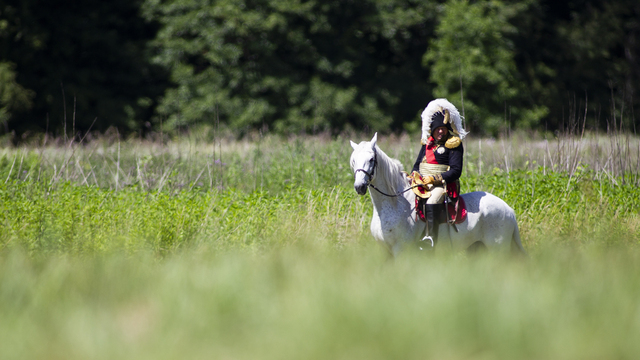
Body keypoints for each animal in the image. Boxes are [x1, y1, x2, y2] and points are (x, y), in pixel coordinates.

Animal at [350, 134, 524, 258]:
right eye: (353, 161)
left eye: (371, 159)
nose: (359, 187)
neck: (395, 204)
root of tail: (509, 210)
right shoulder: (386, 252)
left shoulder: (401, 251)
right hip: (476, 249)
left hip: (497, 250)